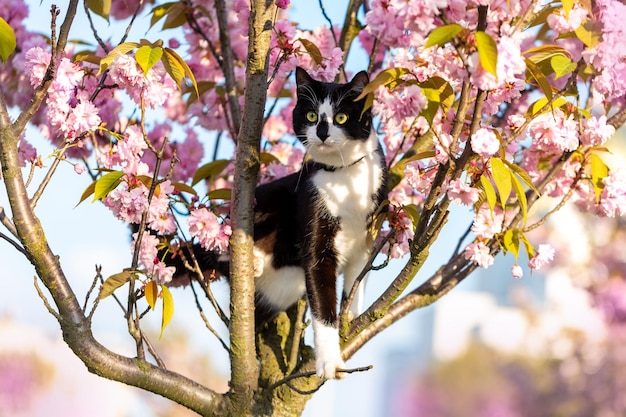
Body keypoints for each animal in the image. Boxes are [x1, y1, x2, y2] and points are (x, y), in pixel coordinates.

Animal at [173, 66, 386, 378]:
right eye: (311, 115)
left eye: (341, 117)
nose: (322, 132)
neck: (343, 174)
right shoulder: (312, 212)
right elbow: (322, 299)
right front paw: (329, 360)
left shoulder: (366, 238)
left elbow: (358, 279)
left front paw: (352, 316)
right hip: (265, 197)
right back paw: (249, 257)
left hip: (284, 287)